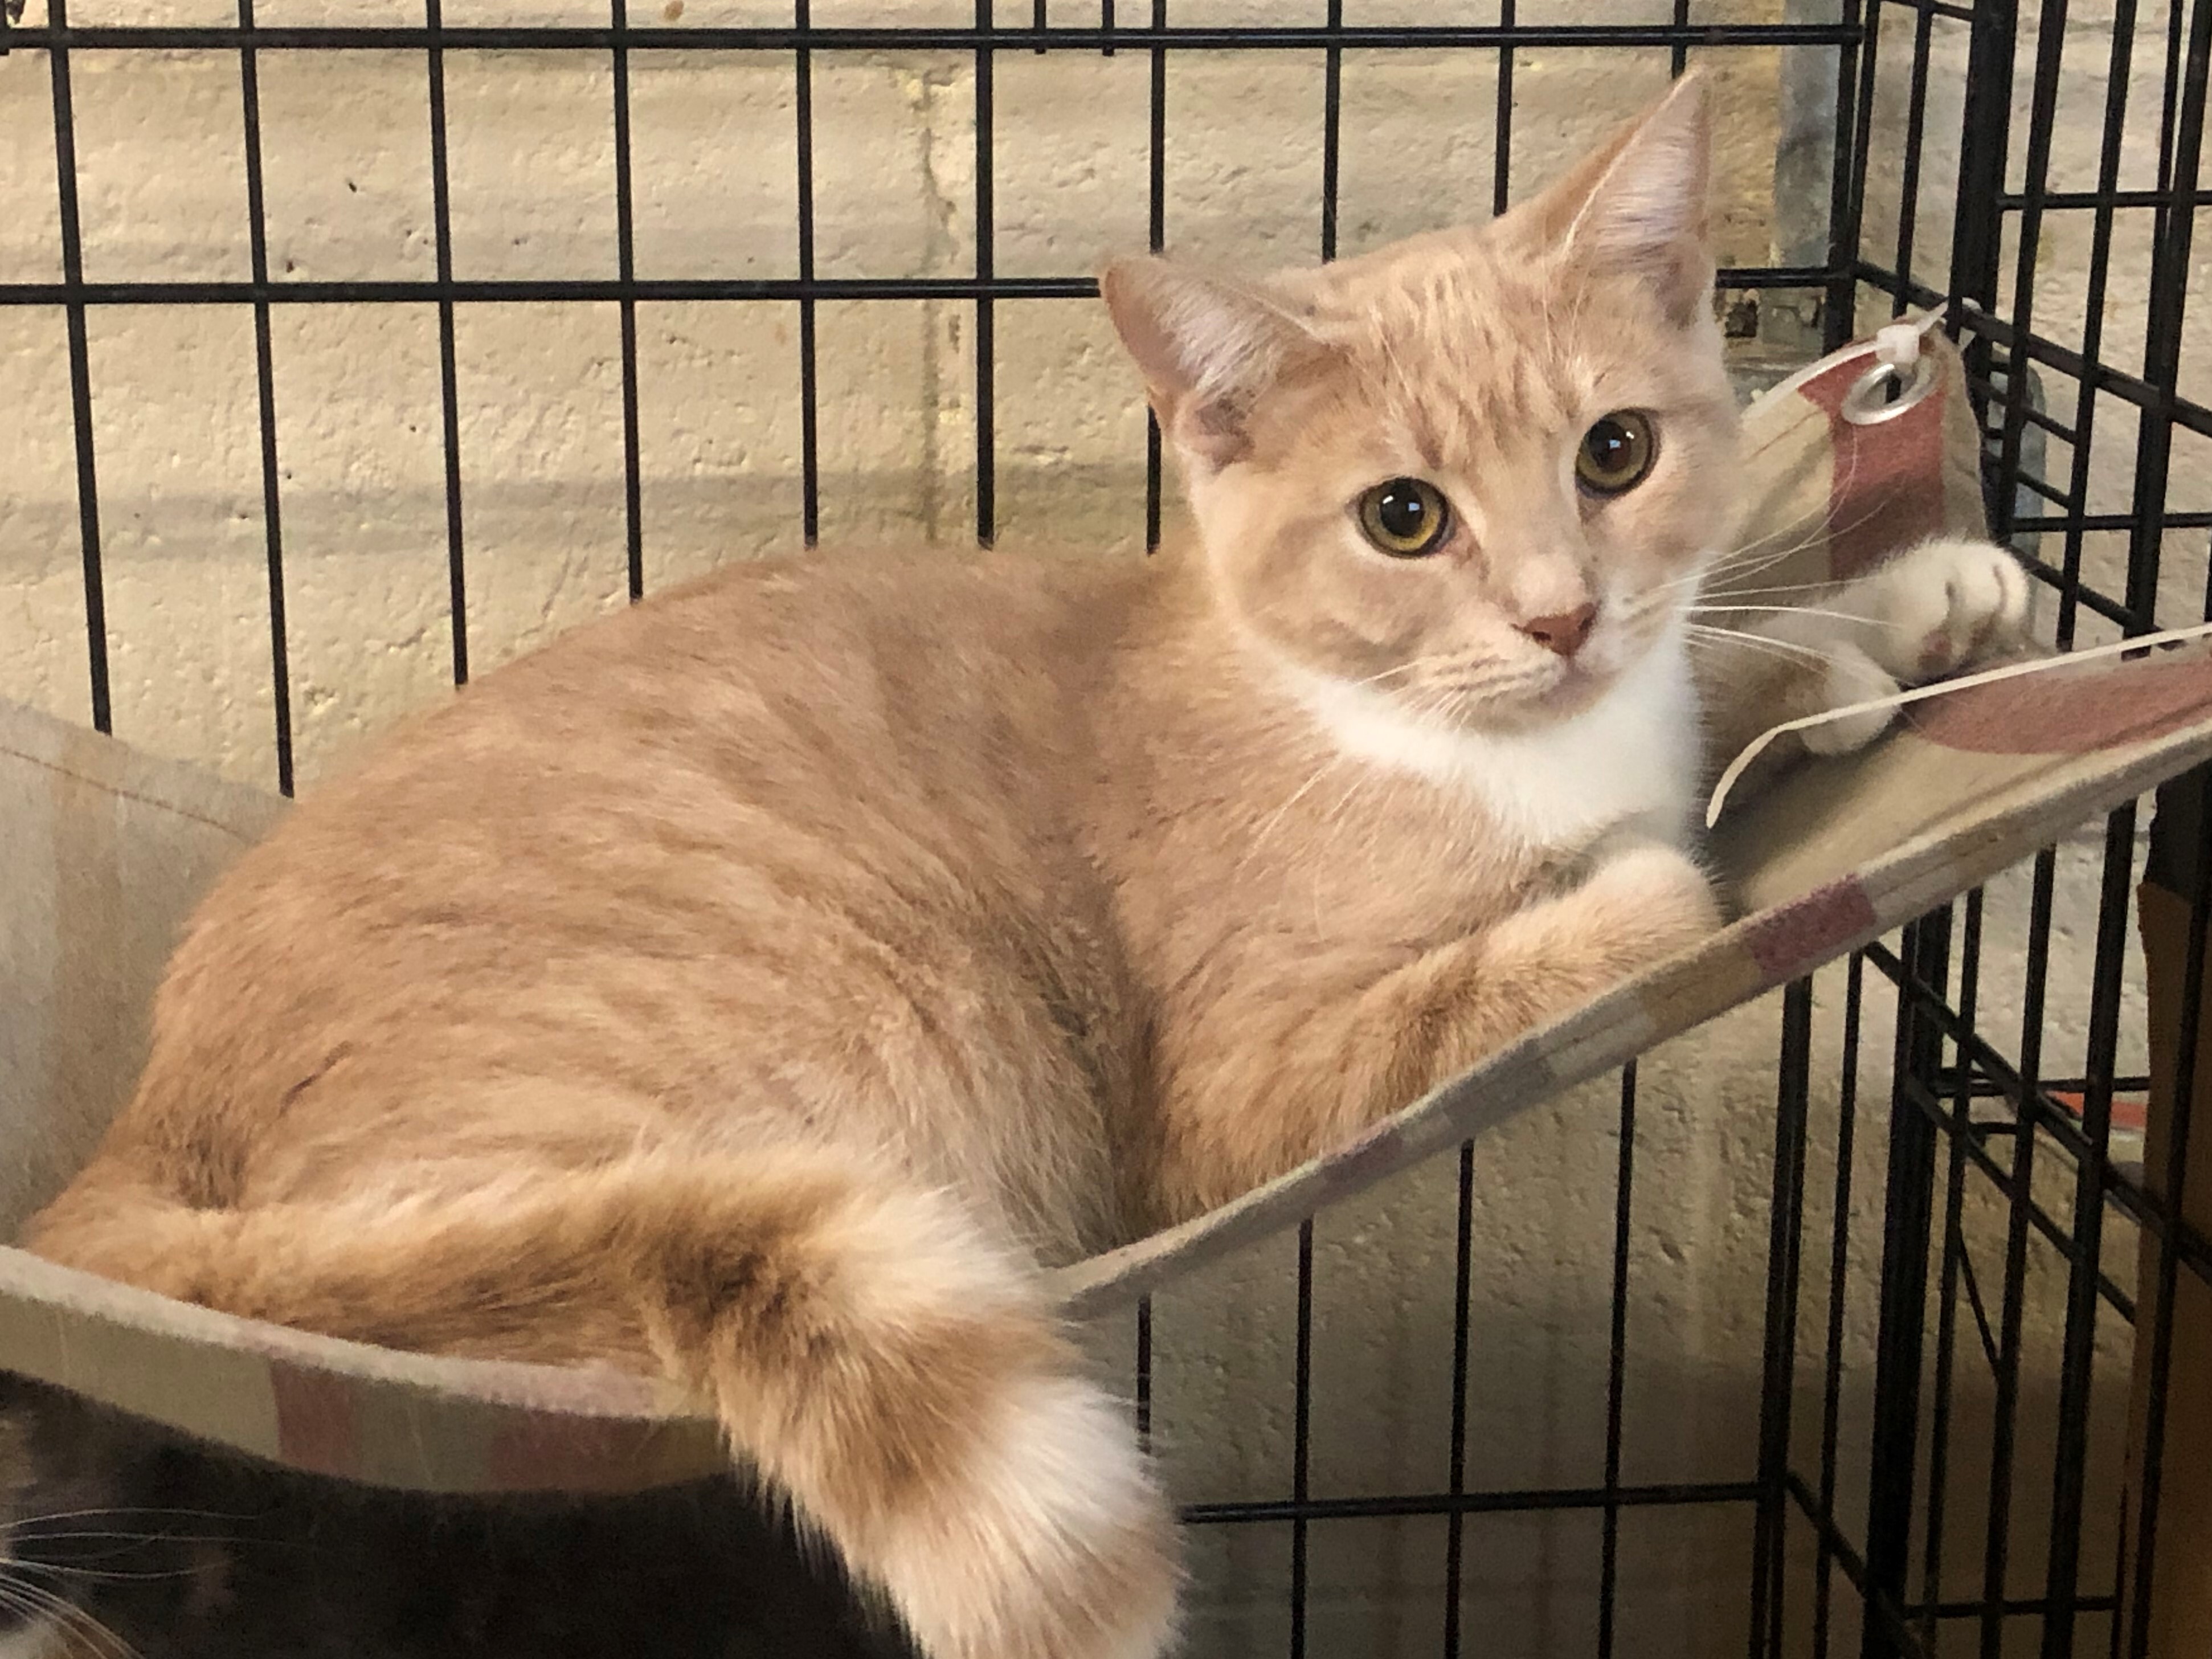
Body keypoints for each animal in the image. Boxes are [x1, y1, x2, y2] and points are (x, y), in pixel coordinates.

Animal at [9, 75, 2026, 1659]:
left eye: (1615, 451)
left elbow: (1723, 671)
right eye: (1402, 517)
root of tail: (140, 1129)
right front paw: (1676, 828)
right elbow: (1607, 896)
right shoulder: (1238, 1086)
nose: (1558, 616)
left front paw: (1900, 610)